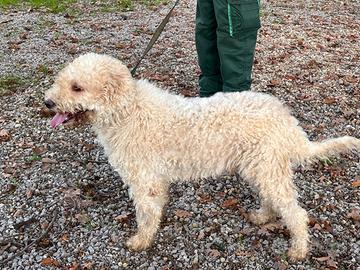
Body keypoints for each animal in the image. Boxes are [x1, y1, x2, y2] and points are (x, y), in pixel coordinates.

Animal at [45, 52, 360, 260]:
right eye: (62, 81)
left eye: (77, 87)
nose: (47, 102)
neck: (127, 110)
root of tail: (286, 119)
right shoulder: (154, 181)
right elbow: (155, 208)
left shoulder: (144, 180)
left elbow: (146, 213)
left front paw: (142, 241)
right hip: (260, 168)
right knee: (274, 200)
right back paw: (263, 216)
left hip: (266, 168)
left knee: (297, 213)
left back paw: (298, 249)